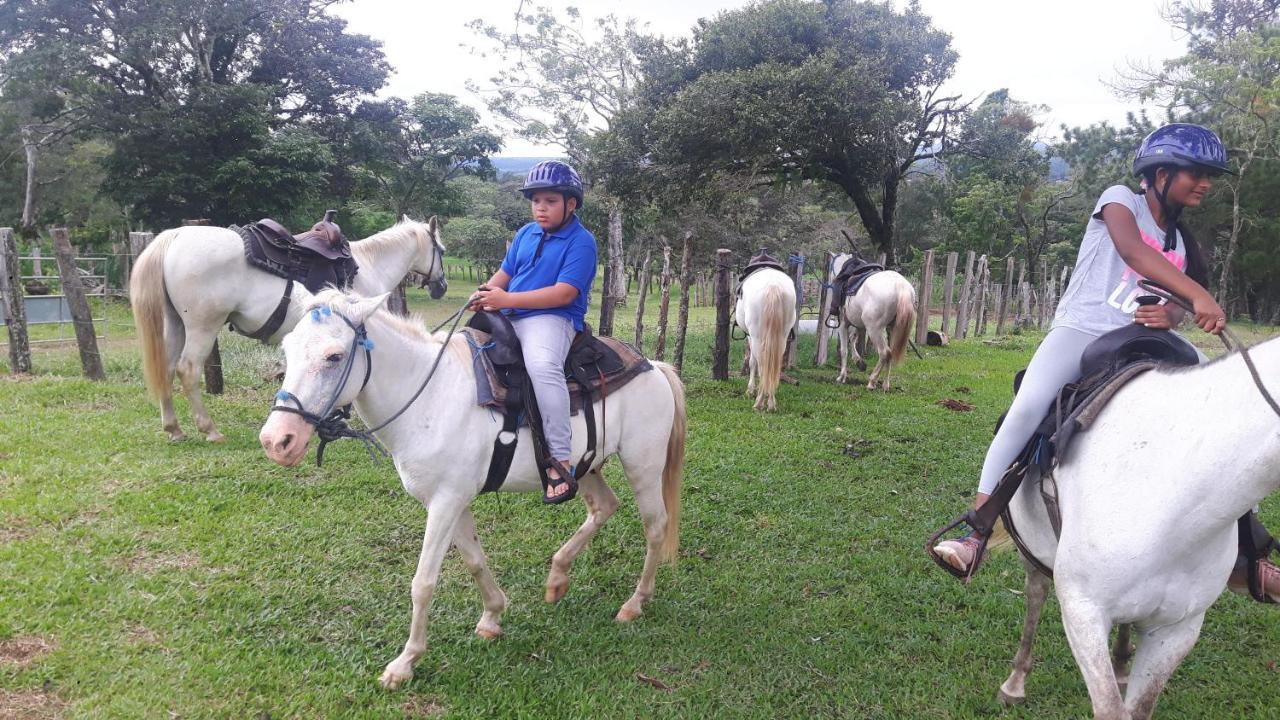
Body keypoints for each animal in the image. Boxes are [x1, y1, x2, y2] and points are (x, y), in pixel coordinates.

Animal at [126, 215, 445, 443]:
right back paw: (210, 430)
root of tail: (177, 235)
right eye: (441, 250)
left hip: (176, 324)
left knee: (167, 369)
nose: (441, 287)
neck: (368, 265)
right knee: (187, 370)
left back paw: (174, 429)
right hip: (202, 326)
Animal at [258, 289, 691, 691]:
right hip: (582, 466)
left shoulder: (445, 503)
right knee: (604, 506)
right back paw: (557, 578)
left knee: (655, 526)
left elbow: (423, 582)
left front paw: (405, 662)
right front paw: (492, 617)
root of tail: (654, 367)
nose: (277, 441)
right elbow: (474, 561)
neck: (430, 399)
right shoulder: (452, 501)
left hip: (643, 466)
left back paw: (634, 604)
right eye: (288, 348)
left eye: (333, 356)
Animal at [737, 266, 793, 409]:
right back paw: (771, 401)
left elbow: (752, 362)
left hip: (757, 336)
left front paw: (750, 390)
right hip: (782, 337)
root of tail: (773, 286)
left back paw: (759, 402)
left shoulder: (750, 336)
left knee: (762, 364)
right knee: (773, 365)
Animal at [829, 251, 921, 389]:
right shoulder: (858, 325)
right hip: (892, 329)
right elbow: (853, 339)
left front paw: (842, 377)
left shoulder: (843, 323)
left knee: (884, 353)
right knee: (891, 353)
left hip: (874, 329)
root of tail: (901, 287)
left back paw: (872, 381)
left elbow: (844, 350)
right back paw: (886, 385)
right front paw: (860, 363)